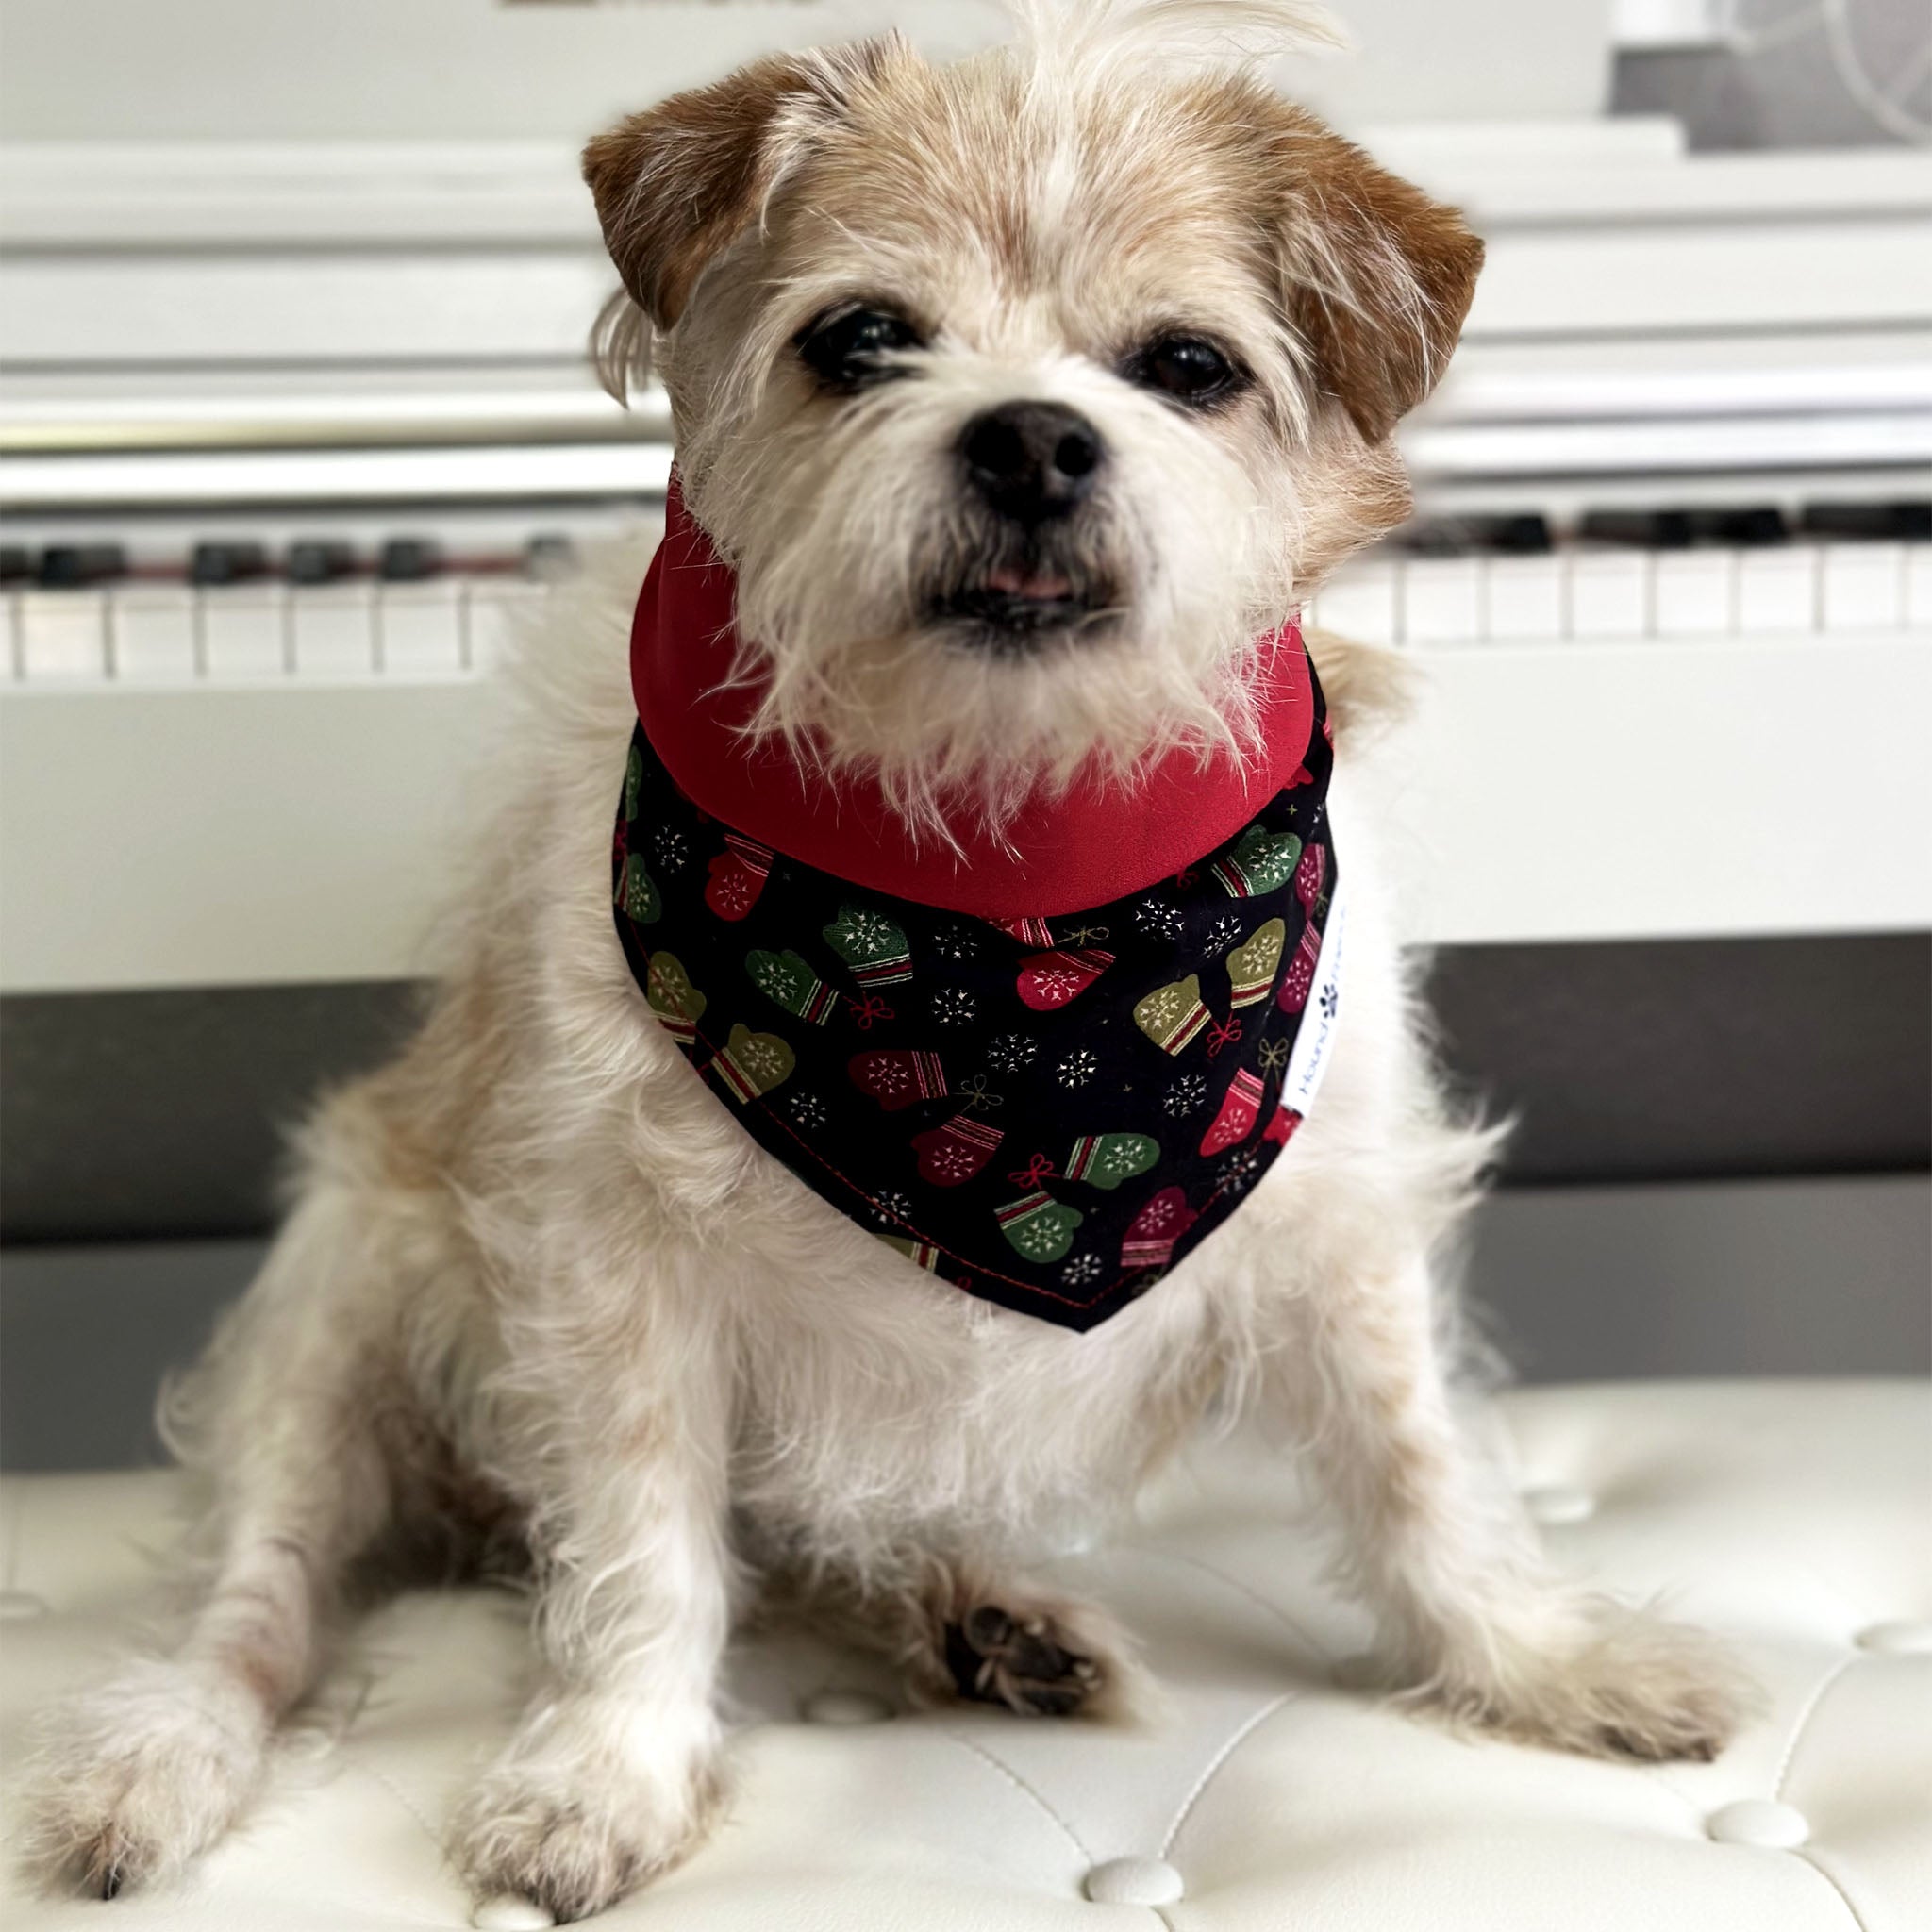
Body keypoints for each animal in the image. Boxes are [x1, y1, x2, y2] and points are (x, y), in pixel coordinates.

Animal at [30, 4, 1754, 1916]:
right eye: (859, 339)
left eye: (1186, 365)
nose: (1033, 440)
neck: (995, 873)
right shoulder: (610, 1269)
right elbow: (640, 1540)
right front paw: (604, 1773)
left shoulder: (1341, 1215)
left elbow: (1421, 1469)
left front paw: (1546, 1660)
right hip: (336, 1302)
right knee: (259, 1592)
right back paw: (157, 1759)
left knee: (817, 1534)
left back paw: (981, 1618)